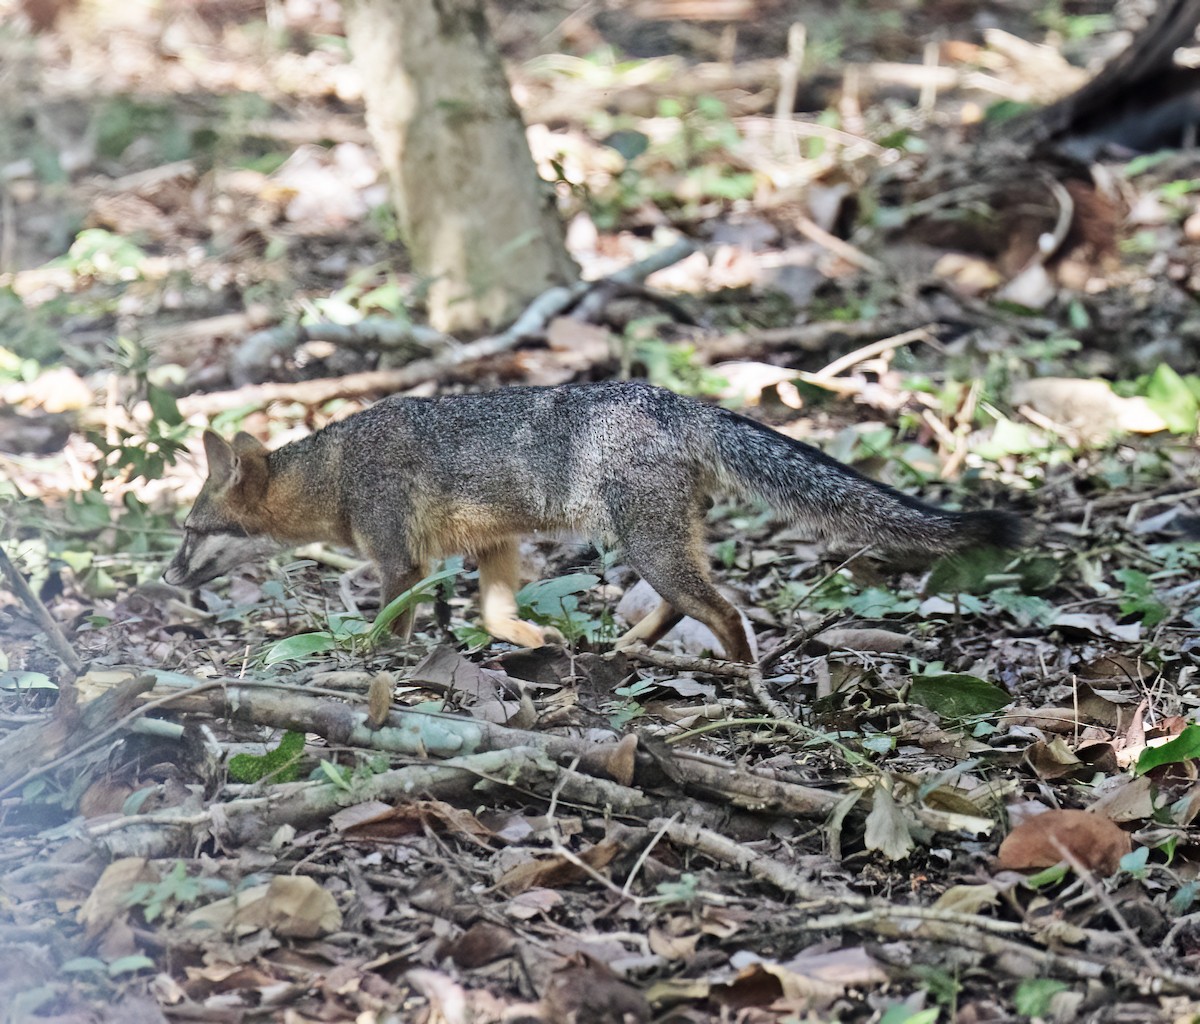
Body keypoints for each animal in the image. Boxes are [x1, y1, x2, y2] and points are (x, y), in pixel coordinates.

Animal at [163, 379, 1023, 662]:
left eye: (189, 533)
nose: (164, 579)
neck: (336, 469)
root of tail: (677, 400)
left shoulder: (401, 561)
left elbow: (389, 621)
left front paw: (365, 659)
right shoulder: (496, 543)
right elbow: (496, 614)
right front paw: (531, 640)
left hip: (649, 546)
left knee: (726, 611)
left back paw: (740, 675)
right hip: (660, 547)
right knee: (691, 603)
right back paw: (633, 644)